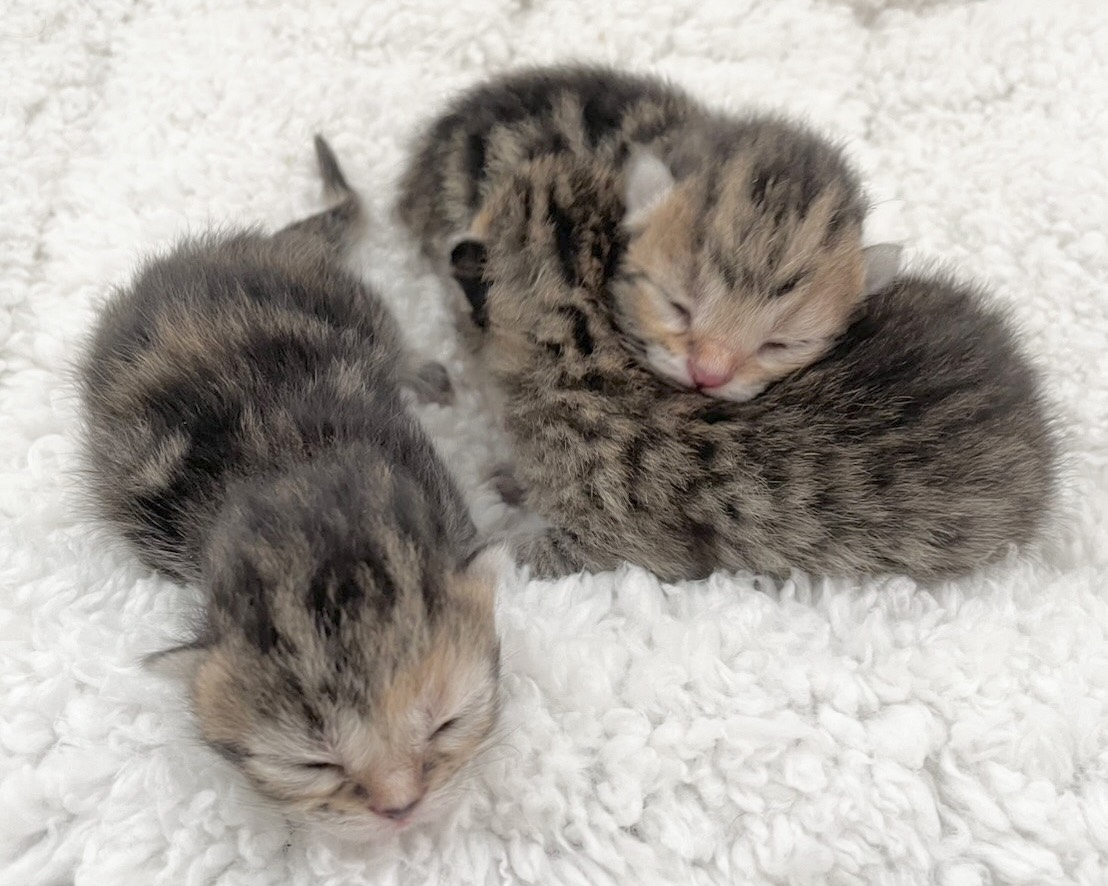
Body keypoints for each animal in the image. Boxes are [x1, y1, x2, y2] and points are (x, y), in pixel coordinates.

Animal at [78, 136, 507, 833]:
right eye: (314, 764)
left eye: (444, 723)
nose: (400, 808)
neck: (295, 479)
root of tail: (240, 245)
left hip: (358, 302)